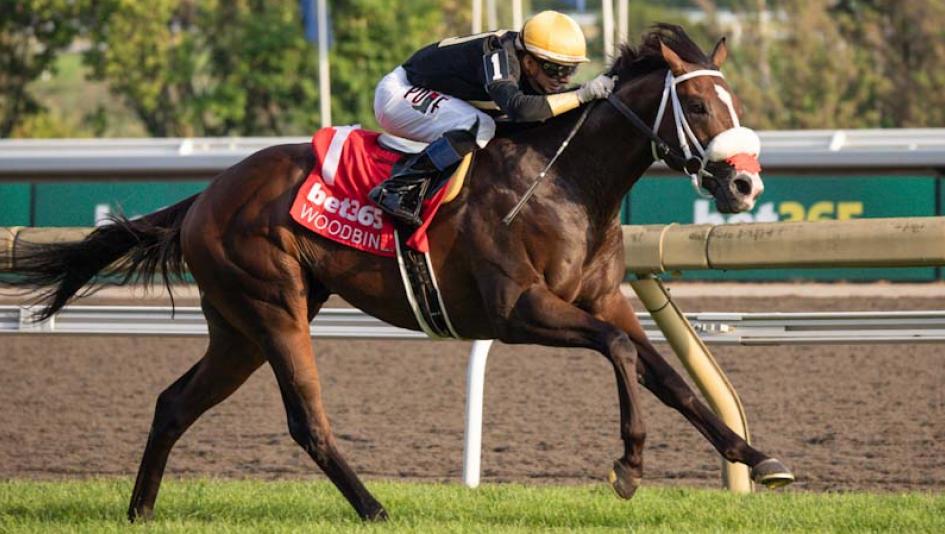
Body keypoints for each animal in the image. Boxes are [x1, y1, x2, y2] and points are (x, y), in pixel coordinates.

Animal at [1, 25, 793, 522]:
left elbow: (670, 378)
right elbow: (624, 353)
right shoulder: (517, 311)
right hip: (273, 308)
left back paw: (139, 509)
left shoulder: (604, 299)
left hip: (237, 328)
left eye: (732, 101)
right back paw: (374, 508)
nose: (744, 186)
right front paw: (627, 467)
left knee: (173, 403)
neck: (563, 181)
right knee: (306, 421)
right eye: (698, 103)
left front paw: (756, 458)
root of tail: (206, 194)